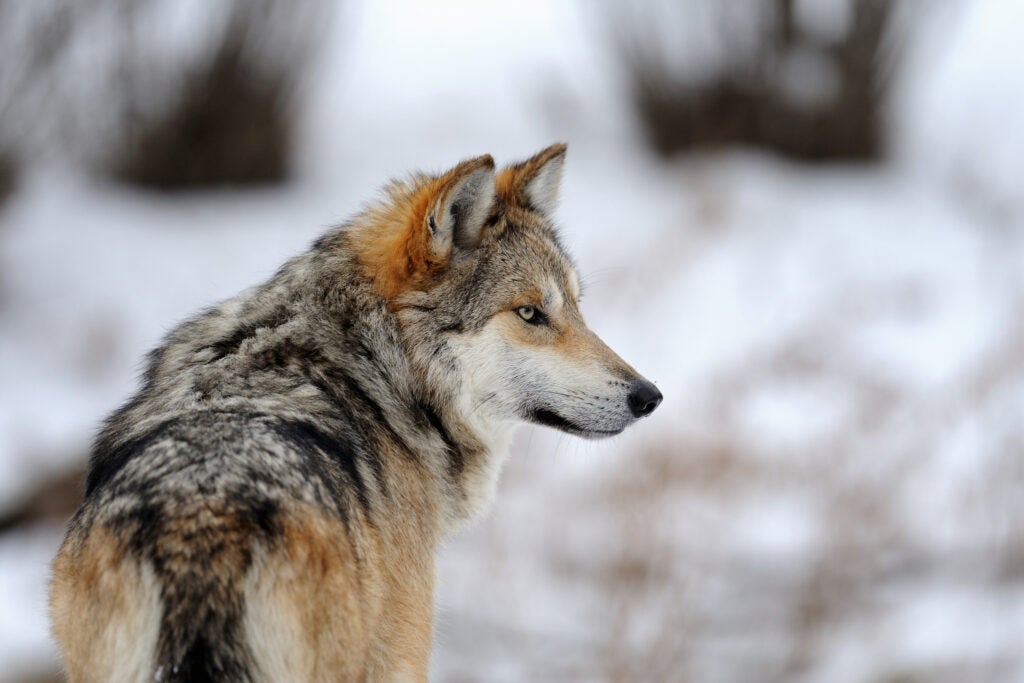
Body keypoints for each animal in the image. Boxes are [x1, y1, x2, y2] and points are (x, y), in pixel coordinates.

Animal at [49, 141, 663, 679]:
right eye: (530, 313)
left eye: (577, 307)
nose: (649, 396)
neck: (378, 368)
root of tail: (200, 527)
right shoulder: (403, 651)